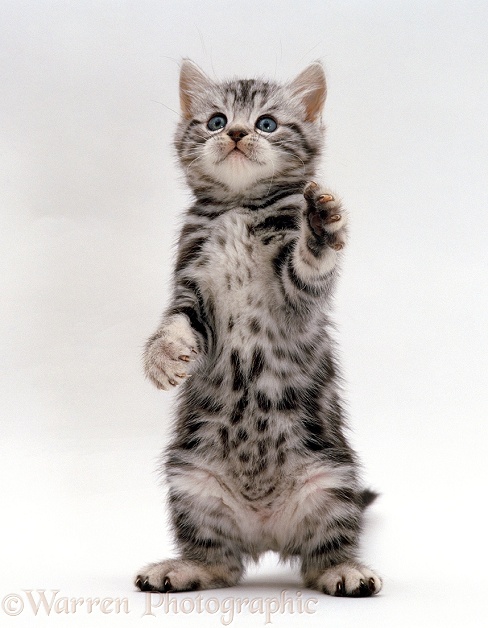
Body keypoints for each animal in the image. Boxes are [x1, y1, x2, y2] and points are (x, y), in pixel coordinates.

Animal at [135, 60, 384, 600]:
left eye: (266, 124)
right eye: (215, 120)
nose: (235, 133)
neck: (237, 208)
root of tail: (266, 530)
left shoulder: (297, 296)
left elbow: (310, 264)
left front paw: (321, 223)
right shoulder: (191, 282)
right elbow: (177, 322)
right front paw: (163, 357)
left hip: (332, 481)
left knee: (323, 553)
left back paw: (346, 570)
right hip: (191, 482)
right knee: (220, 563)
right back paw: (183, 568)